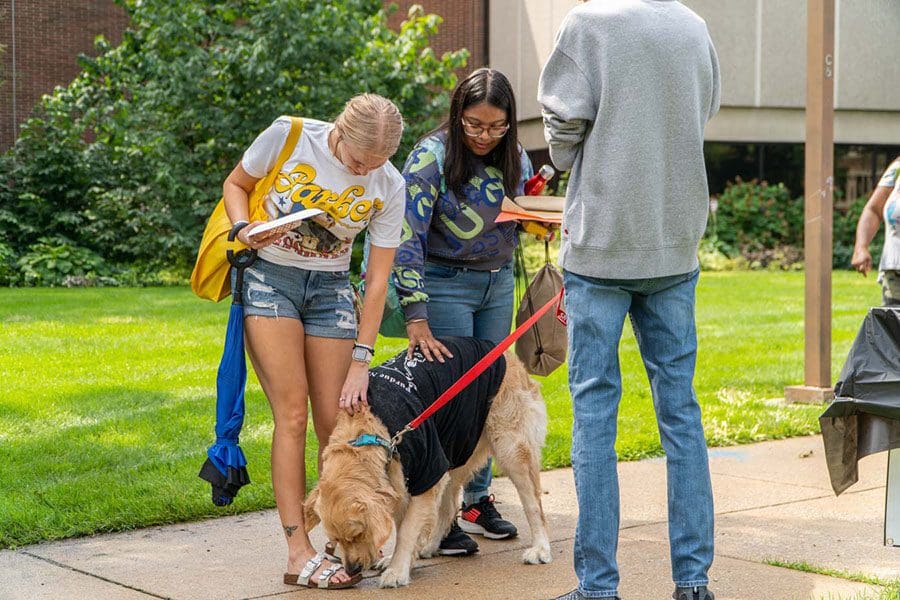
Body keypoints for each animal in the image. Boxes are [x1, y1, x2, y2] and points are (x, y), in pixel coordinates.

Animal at [306, 340, 552, 588]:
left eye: (358, 534)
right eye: (335, 540)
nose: (352, 569)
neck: (369, 435)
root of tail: (505, 354)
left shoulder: (428, 471)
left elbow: (406, 530)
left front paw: (397, 570)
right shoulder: (405, 480)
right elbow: (405, 525)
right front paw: (401, 560)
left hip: (511, 449)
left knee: (534, 505)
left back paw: (540, 549)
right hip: (454, 446)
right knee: (449, 508)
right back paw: (429, 546)